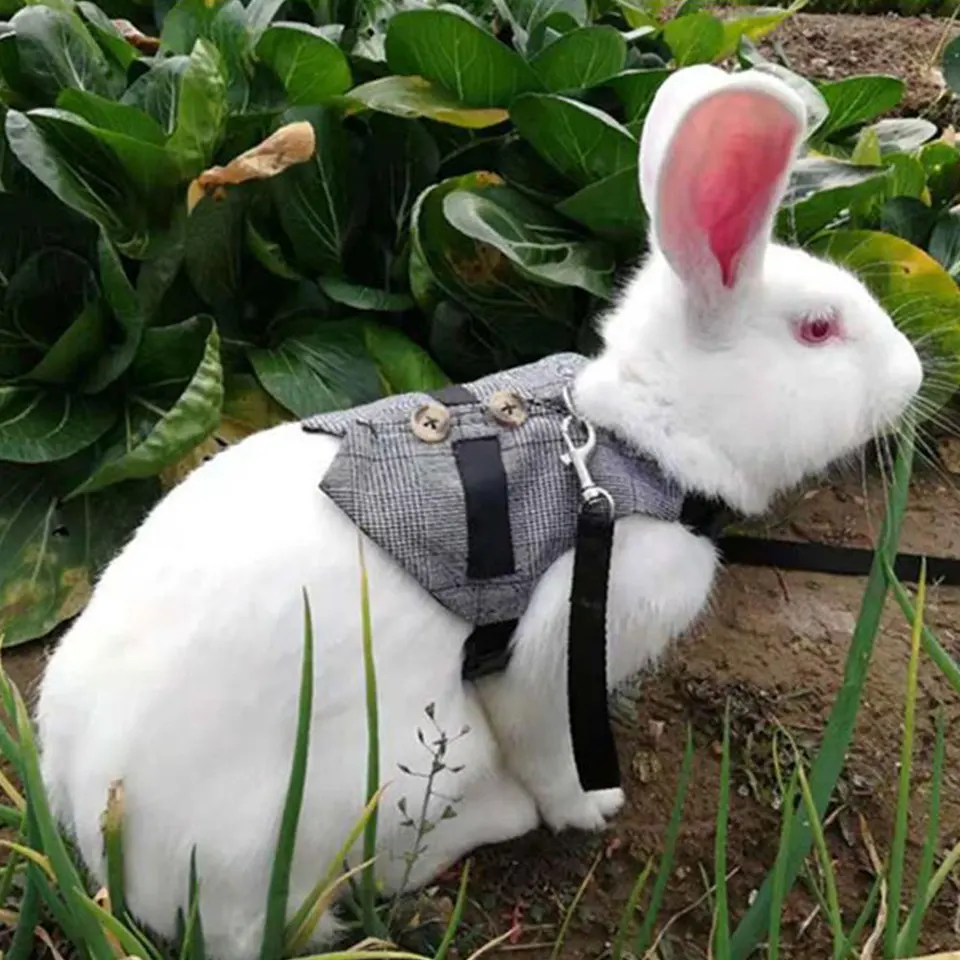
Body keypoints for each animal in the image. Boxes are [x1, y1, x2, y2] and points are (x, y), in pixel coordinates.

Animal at [34, 63, 923, 960]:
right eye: (818, 330)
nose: (914, 376)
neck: (636, 444)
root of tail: (110, 843)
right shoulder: (567, 647)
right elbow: (551, 754)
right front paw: (590, 809)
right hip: (390, 776)